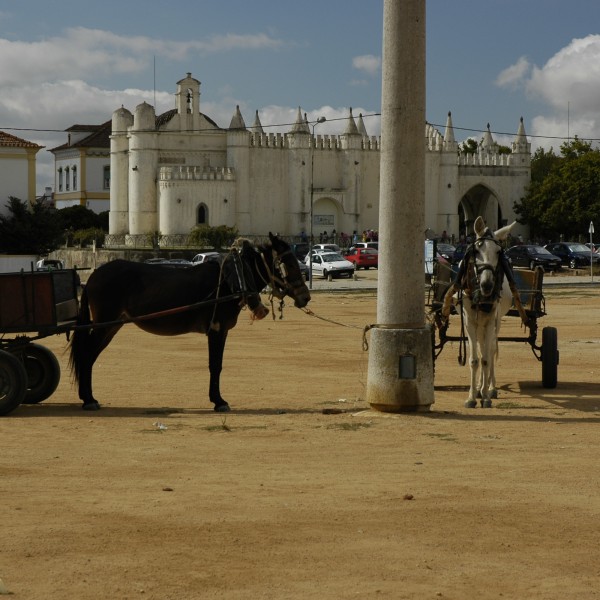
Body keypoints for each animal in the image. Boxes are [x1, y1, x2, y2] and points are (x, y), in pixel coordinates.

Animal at [71, 234, 310, 412]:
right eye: (288, 264)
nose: (306, 297)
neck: (233, 279)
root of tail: (92, 276)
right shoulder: (217, 329)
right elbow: (215, 365)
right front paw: (219, 401)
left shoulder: (221, 330)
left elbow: (217, 364)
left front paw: (217, 399)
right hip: (104, 323)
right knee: (86, 355)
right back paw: (88, 400)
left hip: (112, 325)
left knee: (90, 356)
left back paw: (88, 397)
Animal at [442, 218, 528, 410]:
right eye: (477, 251)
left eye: (498, 252)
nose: (487, 285)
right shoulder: (469, 322)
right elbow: (475, 359)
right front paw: (471, 397)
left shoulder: (490, 320)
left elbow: (487, 357)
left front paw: (486, 396)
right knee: (482, 351)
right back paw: (480, 389)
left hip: (495, 322)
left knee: (490, 349)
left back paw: (489, 388)